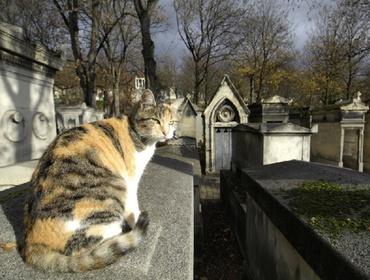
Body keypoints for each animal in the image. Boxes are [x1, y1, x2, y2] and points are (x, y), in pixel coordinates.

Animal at [21, 89, 178, 272]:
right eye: (155, 120)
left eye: (172, 122)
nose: (166, 133)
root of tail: (31, 244)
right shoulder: (131, 179)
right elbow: (133, 205)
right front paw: (137, 218)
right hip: (114, 187)